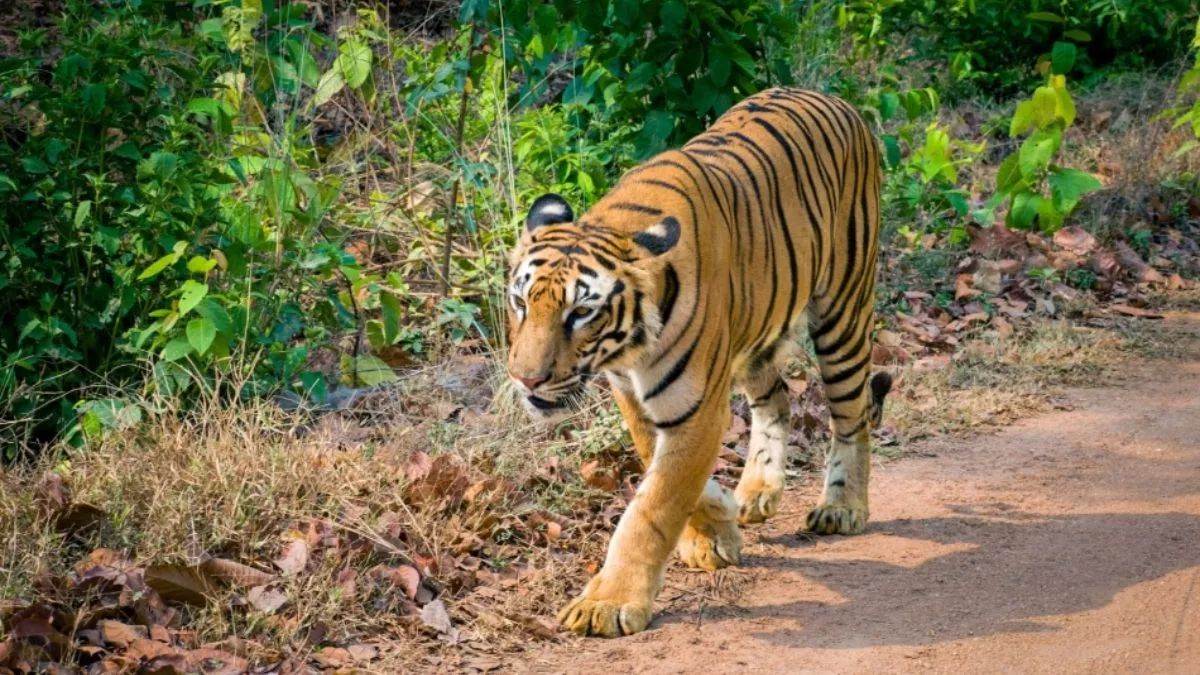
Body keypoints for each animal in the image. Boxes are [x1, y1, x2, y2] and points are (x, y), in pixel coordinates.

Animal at [505, 87, 892, 637]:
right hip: (756, 330)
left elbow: (653, 506)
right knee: (778, 400)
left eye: (580, 312)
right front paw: (715, 529)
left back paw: (842, 507)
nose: (526, 378)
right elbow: (665, 473)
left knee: (852, 416)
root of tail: (838, 101)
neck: (629, 349)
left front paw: (608, 602)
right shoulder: (635, 397)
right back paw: (755, 492)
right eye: (521, 302)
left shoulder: (696, 407)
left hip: (842, 311)